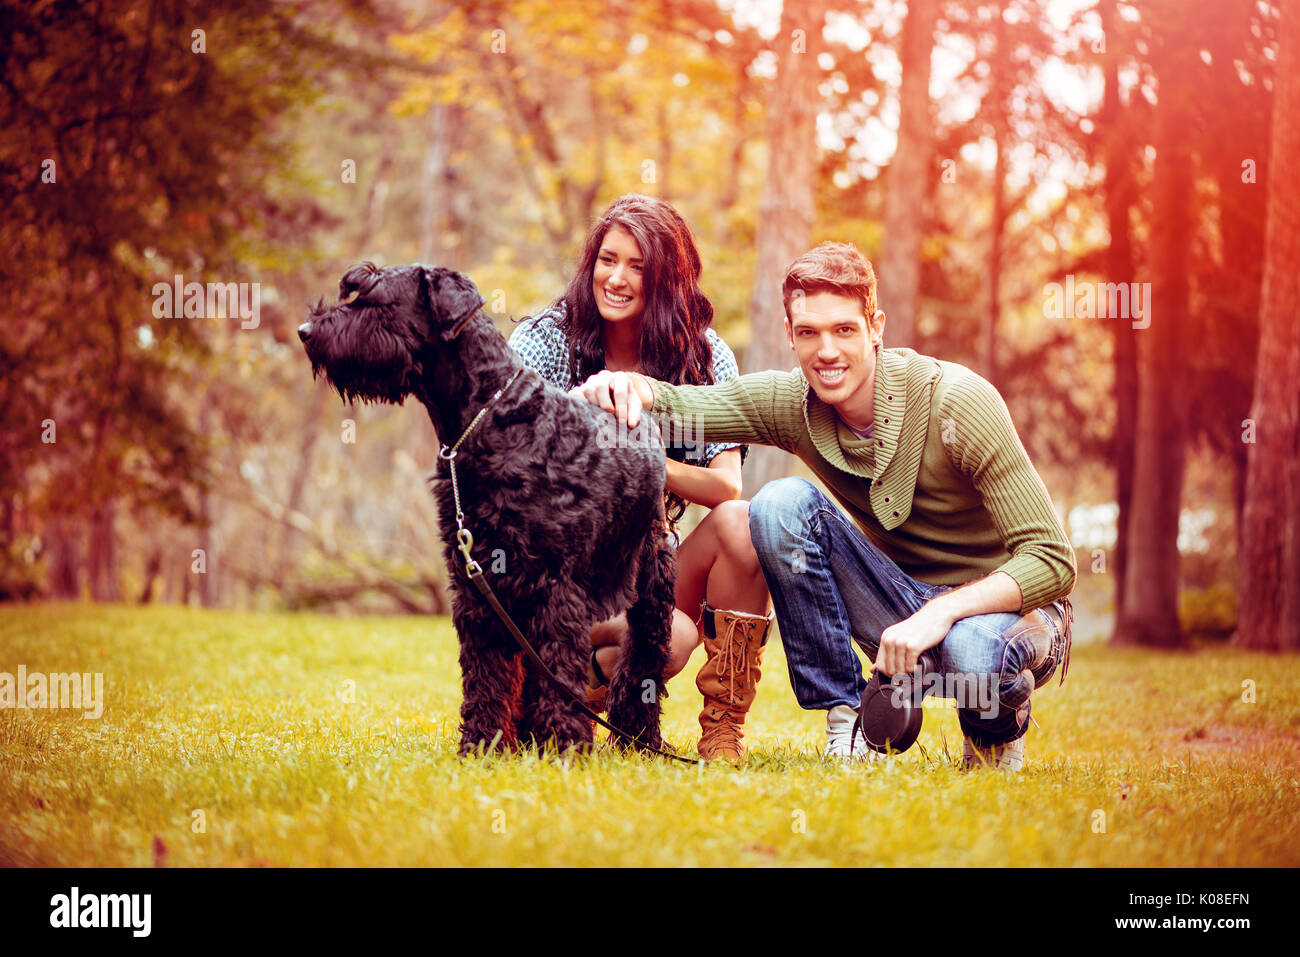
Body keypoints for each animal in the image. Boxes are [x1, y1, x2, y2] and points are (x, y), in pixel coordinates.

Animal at [299, 261, 676, 754]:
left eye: (375, 301)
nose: (306, 331)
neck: (493, 418)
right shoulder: (476, 583)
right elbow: (488, 676)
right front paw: (483, 746)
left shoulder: (554, 589)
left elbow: (555, 671)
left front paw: (563, 749)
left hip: (650, 587)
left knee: (643, 662)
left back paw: (638, 740)